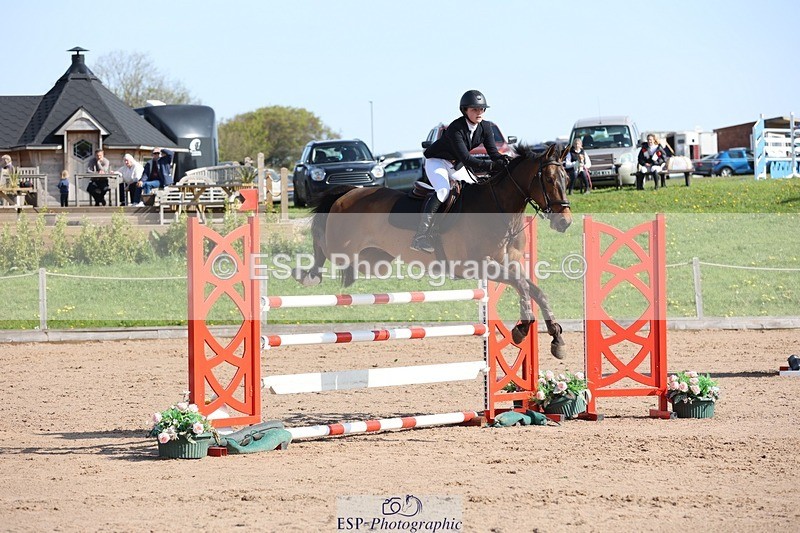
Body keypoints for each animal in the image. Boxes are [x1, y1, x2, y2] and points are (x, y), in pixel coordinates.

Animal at [294, 143, 573, 358]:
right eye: (549, 179)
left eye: (567, 179)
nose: (565, 223)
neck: (499, 210)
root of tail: (349, 192)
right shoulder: (477, 266)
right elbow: (523, 286)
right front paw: (520, 330)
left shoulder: (511, 264)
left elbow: (536, 290)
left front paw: (556, 339)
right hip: (340, 246)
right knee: (320, 245)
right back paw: (307, 275)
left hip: (374, 259)